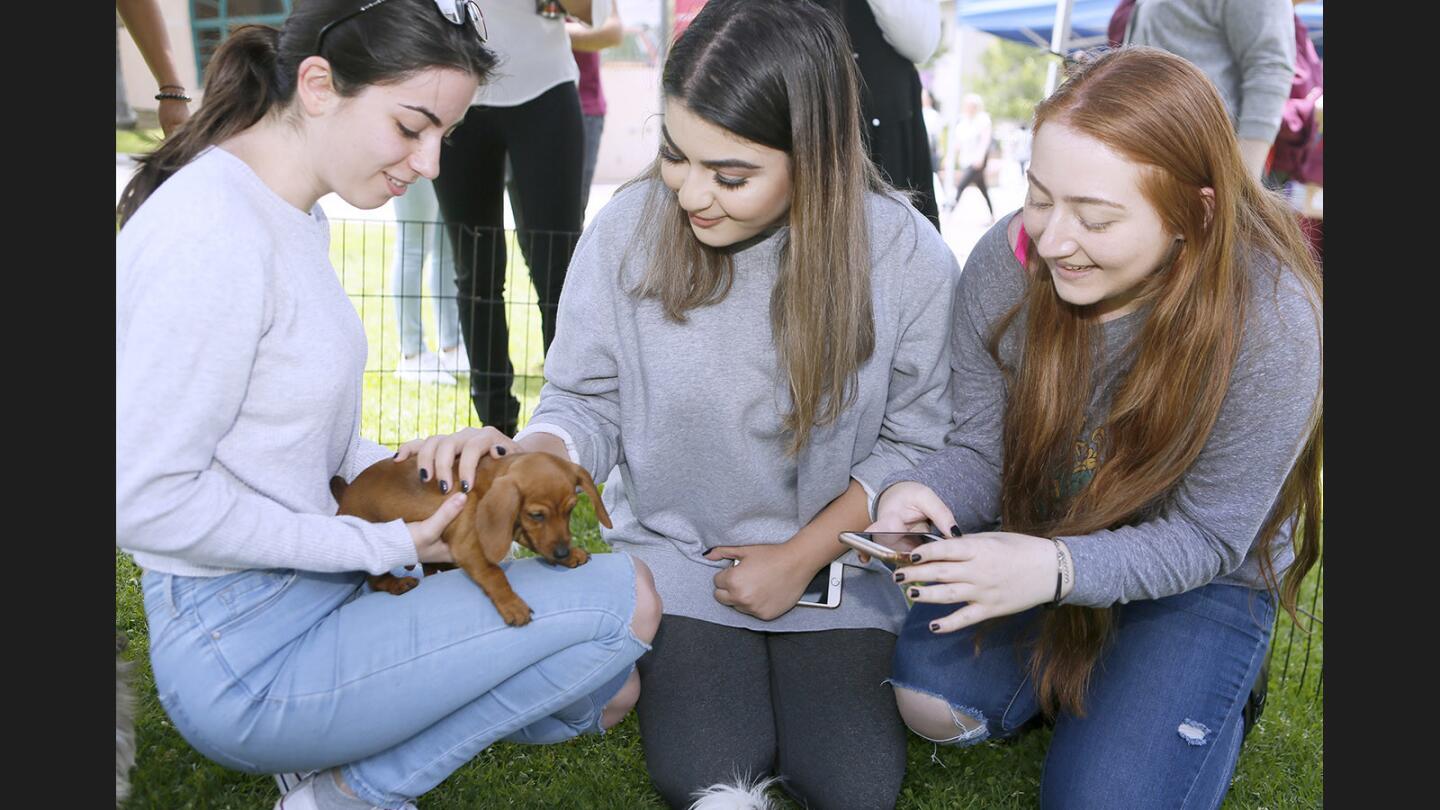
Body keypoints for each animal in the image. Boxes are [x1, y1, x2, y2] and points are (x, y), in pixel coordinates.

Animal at [329, 455, 607, 625]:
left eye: (571, 509)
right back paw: (397, 584)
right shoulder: (470, 545)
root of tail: (346, 491)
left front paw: (573, 554)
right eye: (537, 514)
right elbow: (494, 574)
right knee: (375, 579)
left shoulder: (514, 528)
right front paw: (512, 604)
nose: (562, 553)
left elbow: (537, 543)